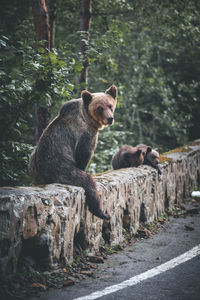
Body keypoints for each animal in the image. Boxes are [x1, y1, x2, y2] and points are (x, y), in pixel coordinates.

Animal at [29, 85, 117, 220]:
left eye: (110, 105)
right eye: (100, 108)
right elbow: (83, 155)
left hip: (33, 159)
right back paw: (103, 213)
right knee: (86, 181)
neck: (87, 118)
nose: (109, 118)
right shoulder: (85, 134)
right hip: (59, 168)